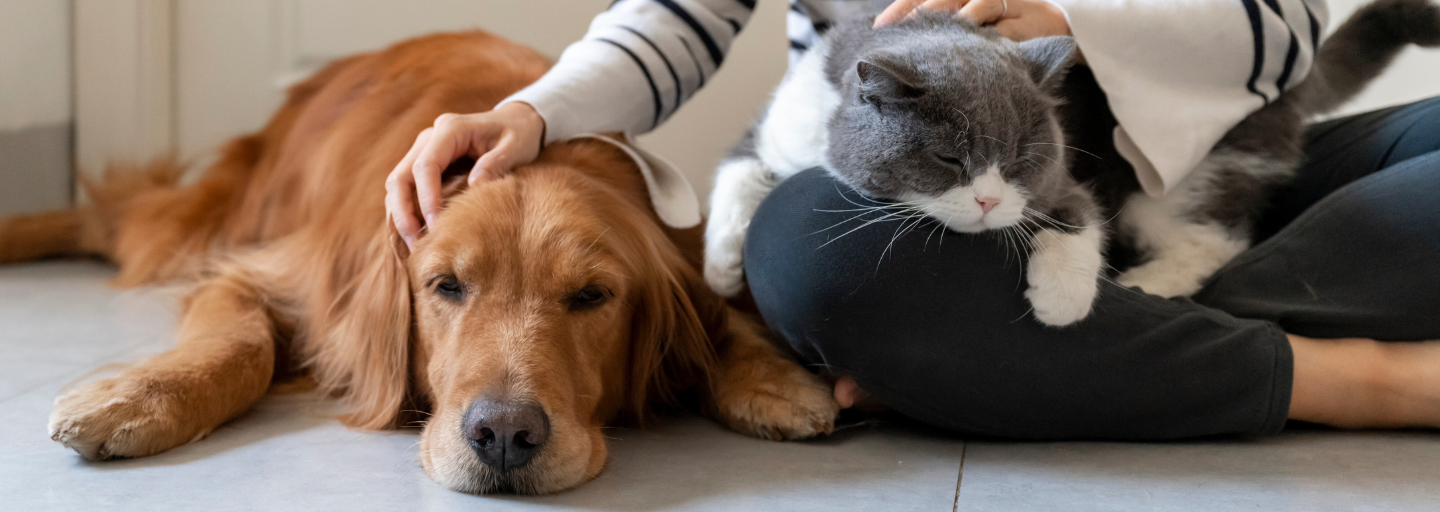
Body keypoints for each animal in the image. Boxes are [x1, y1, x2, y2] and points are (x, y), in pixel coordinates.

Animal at [0, 30, 840, 494]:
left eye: (592, 297)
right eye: (446, 286)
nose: (504, 436)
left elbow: (721, 315)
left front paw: (774, 380)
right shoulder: (268, 274)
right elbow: (240, 345)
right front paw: (133, 398)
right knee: (111, 216)